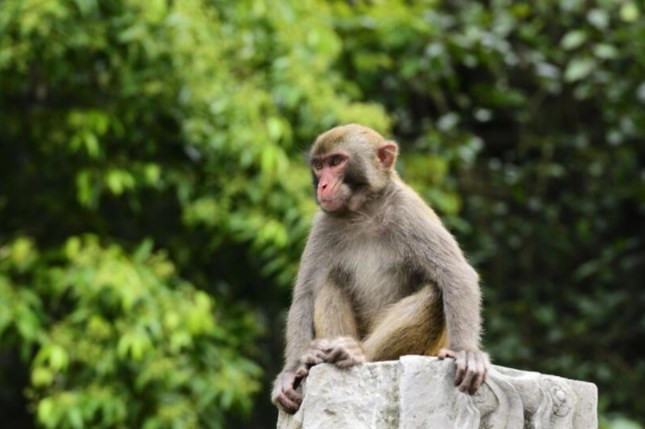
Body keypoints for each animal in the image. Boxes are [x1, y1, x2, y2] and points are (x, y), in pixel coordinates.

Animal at [270, 123, 488, 414]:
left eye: (336, 162)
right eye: (318, 165)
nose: (323, 185)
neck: (363, 210)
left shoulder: (408, 211)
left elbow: (456, 275)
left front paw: (466, 351)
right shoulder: (323, 225)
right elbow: (305, 296)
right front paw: (292, 370)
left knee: (434, 292)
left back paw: (358, 353)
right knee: (327, 283)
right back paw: (324, 353)